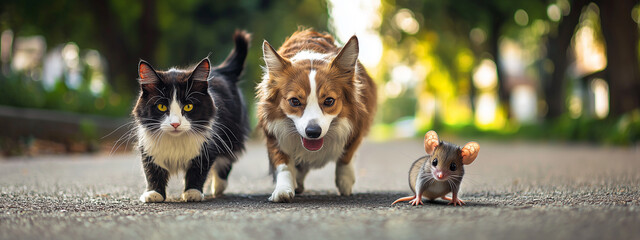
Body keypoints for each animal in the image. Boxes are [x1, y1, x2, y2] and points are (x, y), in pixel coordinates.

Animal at [133, 30, 250, 202]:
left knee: (225, 160)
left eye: (188, 106)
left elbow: (198, 170)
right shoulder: (148, 146)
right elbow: (152, 170)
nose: (175, 124)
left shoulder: (208, 144)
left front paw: (193, 192)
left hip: (232, 134)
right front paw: (154, 193)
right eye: (162, 106)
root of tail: (221, 70)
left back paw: (218, 186)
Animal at [256, 30, 376, 202]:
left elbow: (347, 156)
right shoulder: (274, 133)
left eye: (329, 101)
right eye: (294, 101)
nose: (313, 132)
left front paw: (345, 182)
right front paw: (283, 190)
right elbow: (283, 165)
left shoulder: (357, 126)